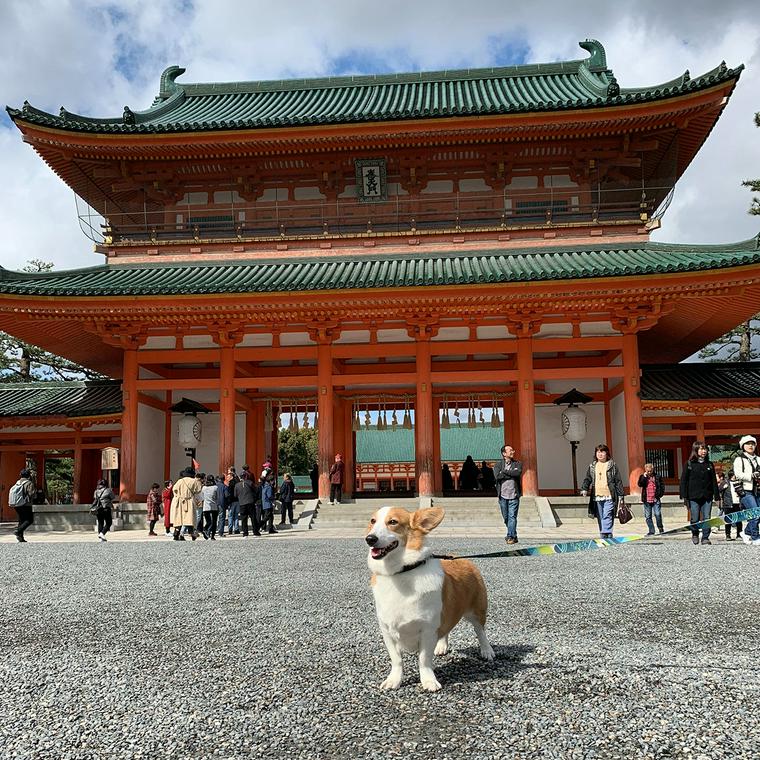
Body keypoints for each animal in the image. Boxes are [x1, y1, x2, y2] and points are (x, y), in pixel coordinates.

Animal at [366, 508, 496, 692]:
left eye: (393, 522)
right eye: (372, 521)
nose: (370, 539)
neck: (402, 571)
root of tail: (462, 558)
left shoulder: (427, 630)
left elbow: (424, 660)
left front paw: (428, 681)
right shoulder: (387, 631)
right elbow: (397, 660)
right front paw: (394, 681)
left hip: (477, 611)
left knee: (480, 631)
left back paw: (486, 651)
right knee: (447, 629)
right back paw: (442, 646)